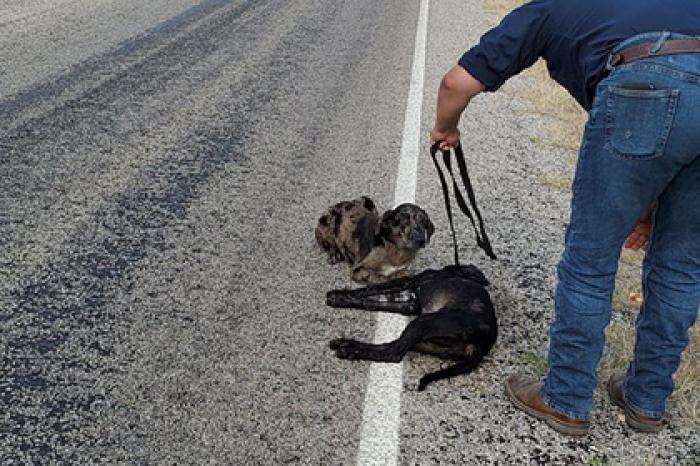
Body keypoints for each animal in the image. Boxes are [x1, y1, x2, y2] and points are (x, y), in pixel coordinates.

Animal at [328, 266, 498, 390]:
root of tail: (483, 344)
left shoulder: (407, 282)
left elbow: (369, 289)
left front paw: (338, 296)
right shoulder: (411, 303)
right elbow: (371, 302)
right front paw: (343, 299)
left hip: (423, 323)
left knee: (393, 353)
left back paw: (349, 349)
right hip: (427, 340)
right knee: (390, 346)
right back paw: (346, 344)